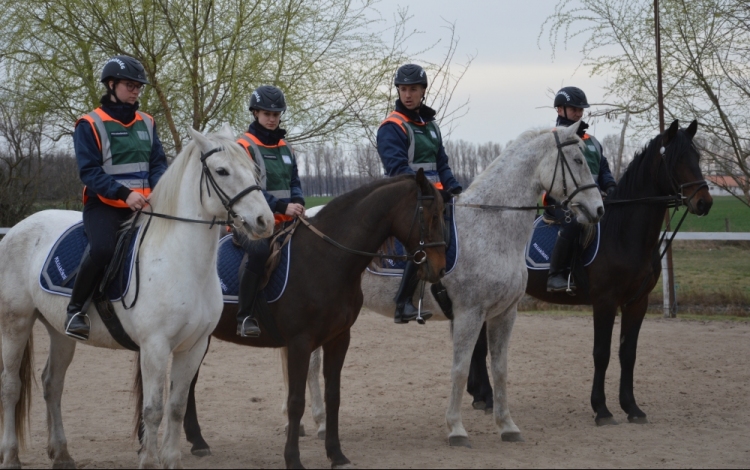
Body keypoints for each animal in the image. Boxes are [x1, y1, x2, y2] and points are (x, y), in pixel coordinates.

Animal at [0, 126, 274, 468]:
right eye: (222, 171)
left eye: (254, 171)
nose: (265, 221)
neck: (181, 260)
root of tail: (19, 228)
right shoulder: (154, 347)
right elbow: (153, 410)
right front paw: (149, 462)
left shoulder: (194, 347)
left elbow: (176, 407)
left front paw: (171, 460)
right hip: (16, 323)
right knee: (11, 386)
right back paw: (11, 455)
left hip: (59, 331)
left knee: (53, 384)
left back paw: (62, 454)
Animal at [138, 171, 446, 468]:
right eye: (432, 216)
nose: (439, 268)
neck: (327, 257)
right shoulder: (300, 342)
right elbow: (296, 401)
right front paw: (293, 459)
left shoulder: (339, 339)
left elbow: (334, 397)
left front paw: (337, 455)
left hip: (197, 338)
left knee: (187, 386)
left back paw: (197, 442)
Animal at [288, 123, 604, 446]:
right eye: (578, 160)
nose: (599, 209)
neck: (489, 226)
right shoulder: (469, 314)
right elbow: (460, 369)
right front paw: (456, 428)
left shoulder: (505, 313)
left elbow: (500, 369)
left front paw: (507, 425)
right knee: (312, 367)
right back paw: (320, 423)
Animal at [470, 120, 716, 426]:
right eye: (676, 159)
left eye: (696, 157)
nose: (704, 202)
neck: (624, 233)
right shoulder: (605, 301)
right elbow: (602, 353)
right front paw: (602, 409)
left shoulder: (637, 302)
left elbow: (628, 353)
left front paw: (632, 407)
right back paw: (486, 397)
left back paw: (479, 395)